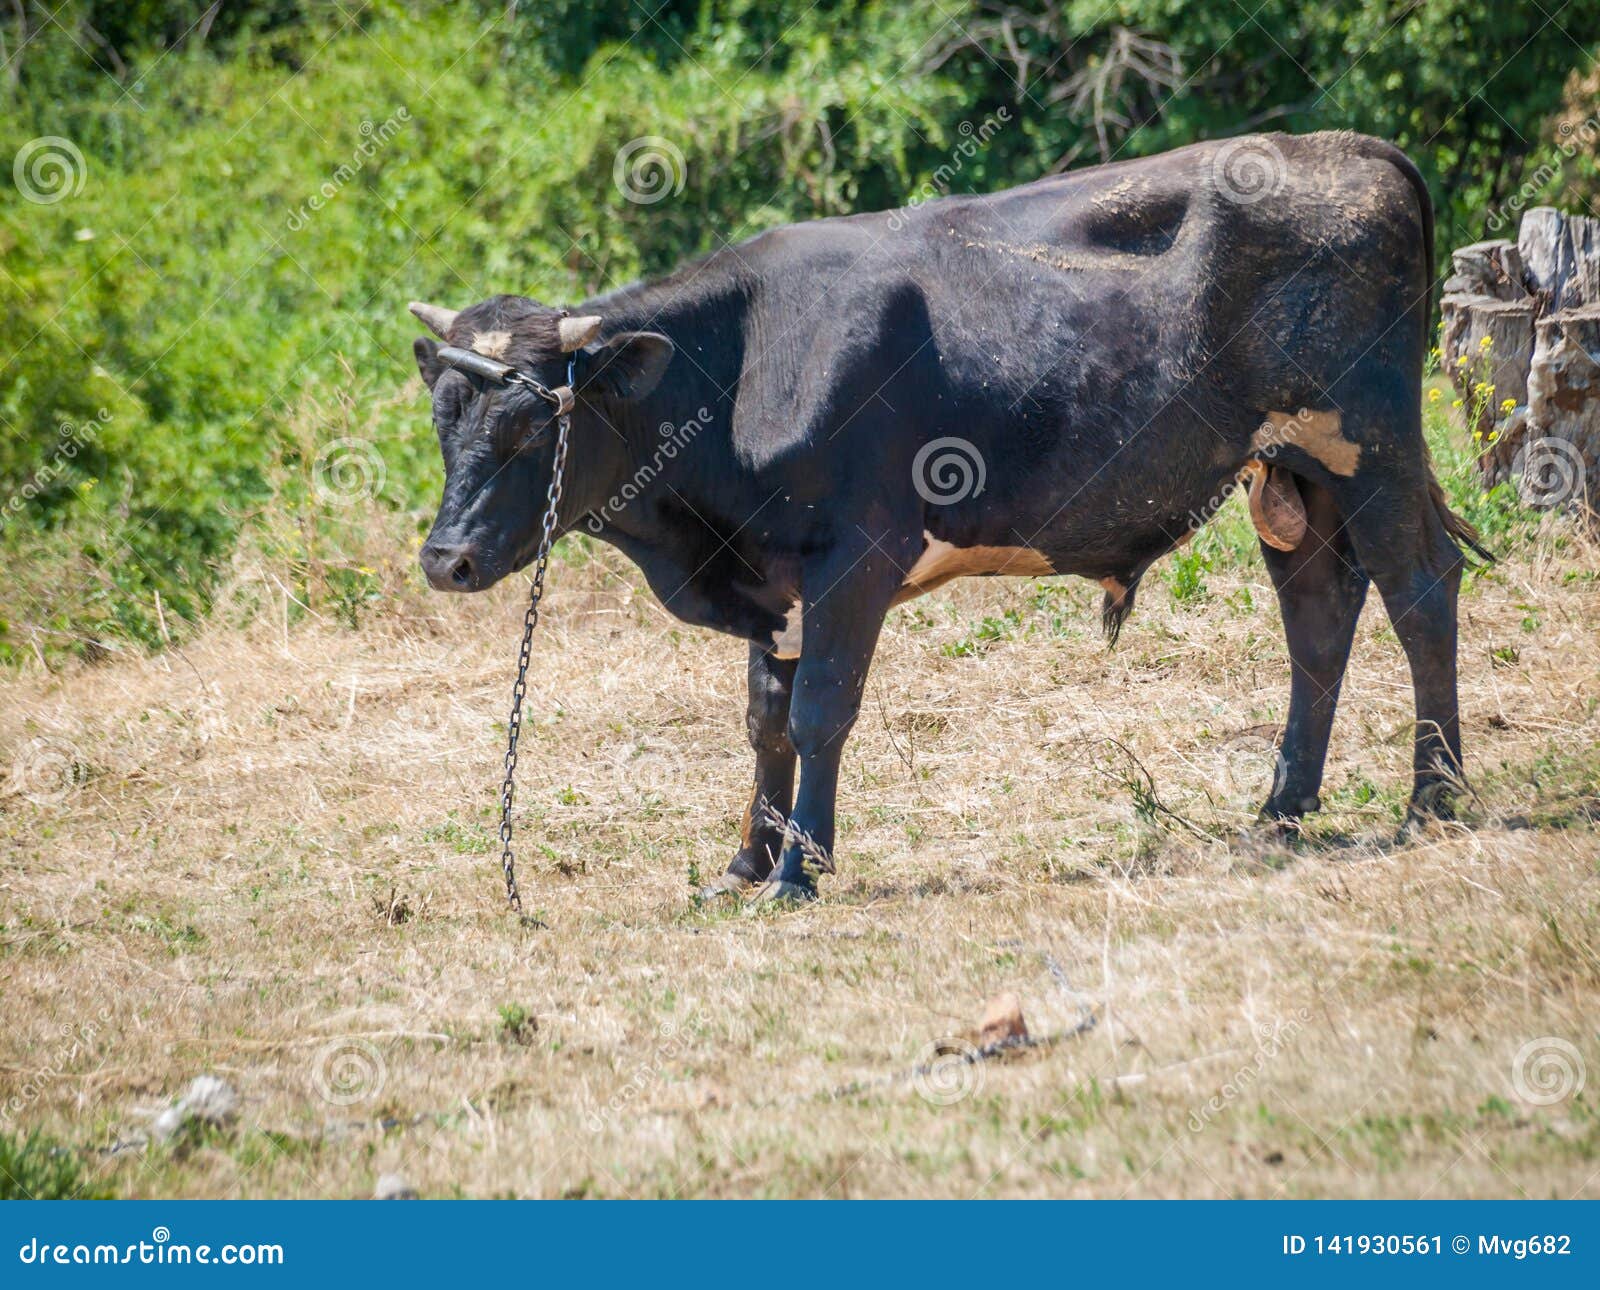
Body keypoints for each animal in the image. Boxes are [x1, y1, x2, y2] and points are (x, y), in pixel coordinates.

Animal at [409, 128, 1484, 896]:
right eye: (444, 416)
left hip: (1369, 442)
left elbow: (819, 711)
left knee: (1420, 590)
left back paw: (1435, 799)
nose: (445, 559)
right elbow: (763, 722)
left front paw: (799, 872)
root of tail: (1350, 147)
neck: (743, 363)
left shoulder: (855, 557)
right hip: (1291, 469)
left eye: (531, 428)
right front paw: (745, 865)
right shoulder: (773, 578)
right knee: (1320, 615)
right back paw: (1281, 810)